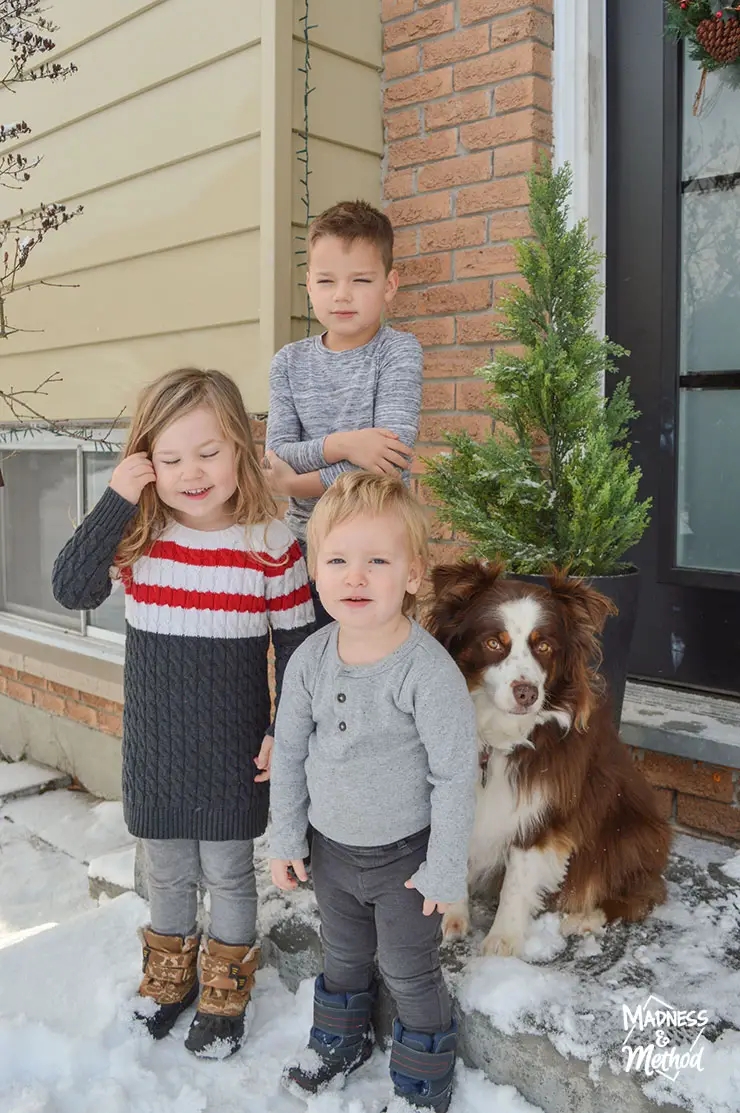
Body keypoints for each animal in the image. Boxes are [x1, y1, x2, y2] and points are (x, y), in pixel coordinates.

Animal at [425, 560, 672, 961]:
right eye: (494, 642)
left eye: (543, 645)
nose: (527, 693)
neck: (496, 736)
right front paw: (450, 918)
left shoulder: (545, 808)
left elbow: (518, 877)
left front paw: (501, 944)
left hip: (629, 834)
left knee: (635, 894)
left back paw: (582, 918)